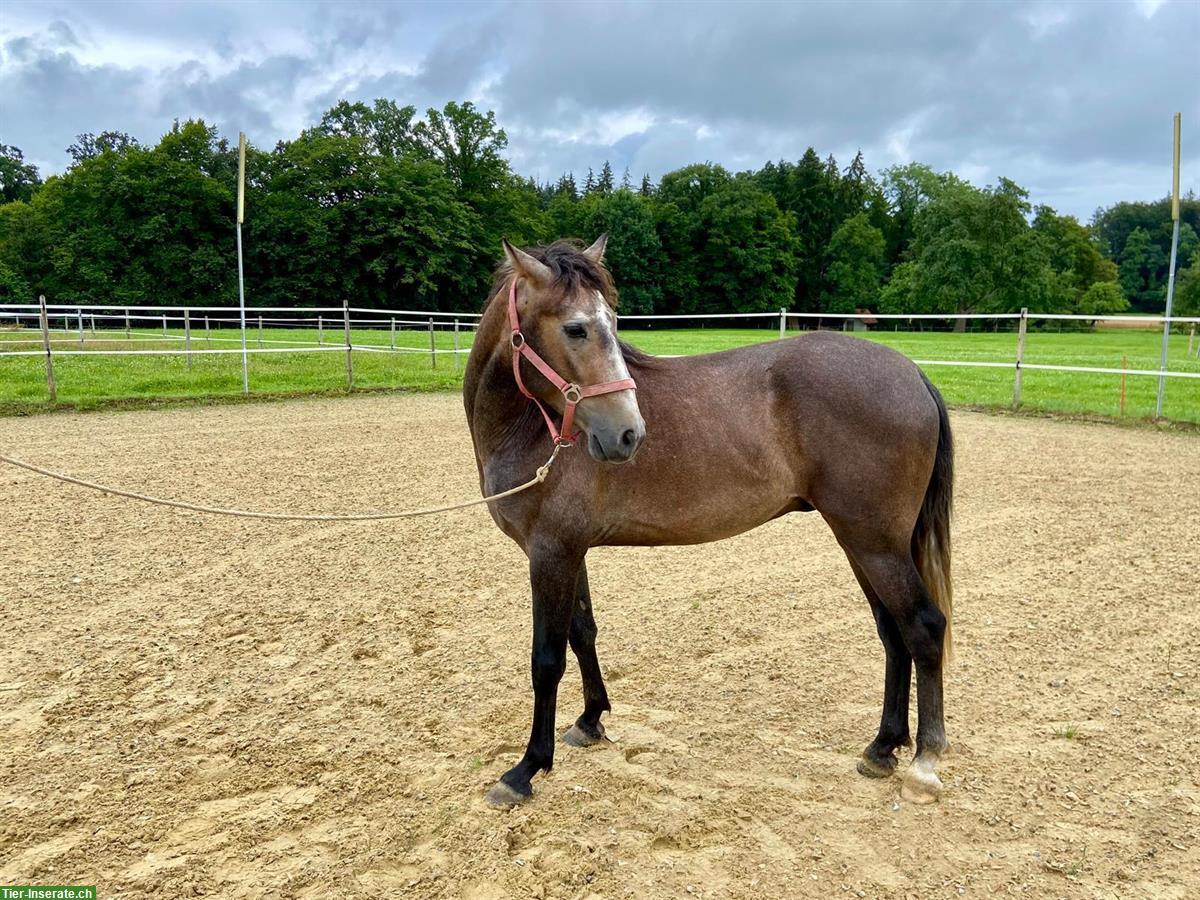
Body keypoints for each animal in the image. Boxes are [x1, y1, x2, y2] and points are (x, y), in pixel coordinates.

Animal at [460, 237, 955, 811]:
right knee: (893, 633)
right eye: (576, 327)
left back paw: (924, 763)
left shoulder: (550, 553)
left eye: (608, 320)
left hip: (875, 543)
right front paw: (590, 721)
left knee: (923, 626)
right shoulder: (570, 551)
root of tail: (912, 373)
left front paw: (525, 769)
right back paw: (882, 748)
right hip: (865, 543)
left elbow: (547, 659)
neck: (532, 428)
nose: (628, 434)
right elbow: (583, 634)